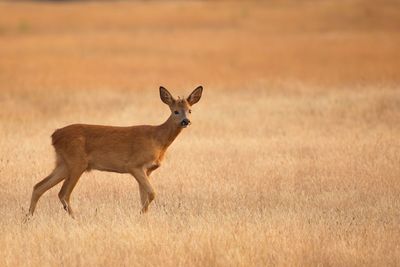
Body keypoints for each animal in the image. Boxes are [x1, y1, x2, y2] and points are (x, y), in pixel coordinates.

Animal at [27, 87, 203, 219]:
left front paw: (143, 218)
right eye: (175, 111)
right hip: (77, 162)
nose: (186, 121)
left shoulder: (147, 170)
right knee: (63, 193)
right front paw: (139, 215)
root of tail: (54, 135)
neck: (158, 140)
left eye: (190, 110)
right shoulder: (134, 165)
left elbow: (144, 196)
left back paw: (28, 218)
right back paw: (75, 219)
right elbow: (152, 193)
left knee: (39, 186)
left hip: (63, 163)